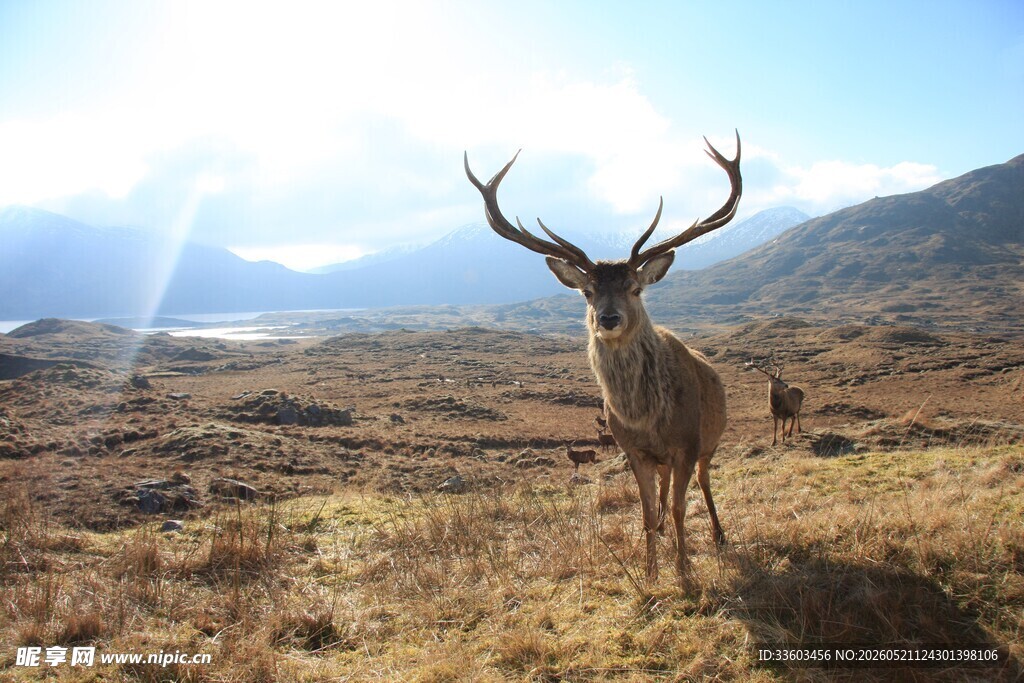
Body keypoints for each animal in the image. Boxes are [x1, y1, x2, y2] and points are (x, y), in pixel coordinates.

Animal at [466, 132, 741, 585]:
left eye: (634, 287)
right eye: (587, 292)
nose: (608, 319)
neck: (646, 418)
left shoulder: (687, 443)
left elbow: (682, 508)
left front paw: (684, 572)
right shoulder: (634, 450)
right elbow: (646, 513)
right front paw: (650, 574)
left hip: (710, 442)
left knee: (703, 483)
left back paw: (719, 535)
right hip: (666, 459)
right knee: (665, 490)